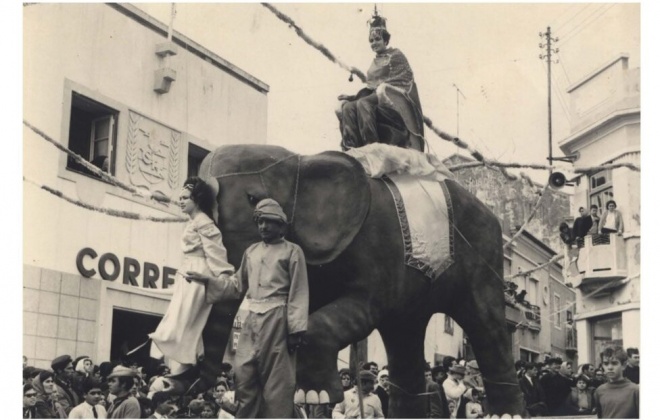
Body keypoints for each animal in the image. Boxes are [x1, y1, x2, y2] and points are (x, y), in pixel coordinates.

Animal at [187, 144, 524, 416]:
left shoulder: (377, 248)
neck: (303, 161)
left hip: (482, 257)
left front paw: (313, 395)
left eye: (252, 198)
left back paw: (506, 415)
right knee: (405, 340)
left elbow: (358, 310)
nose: (194, 387)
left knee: (486, 325)